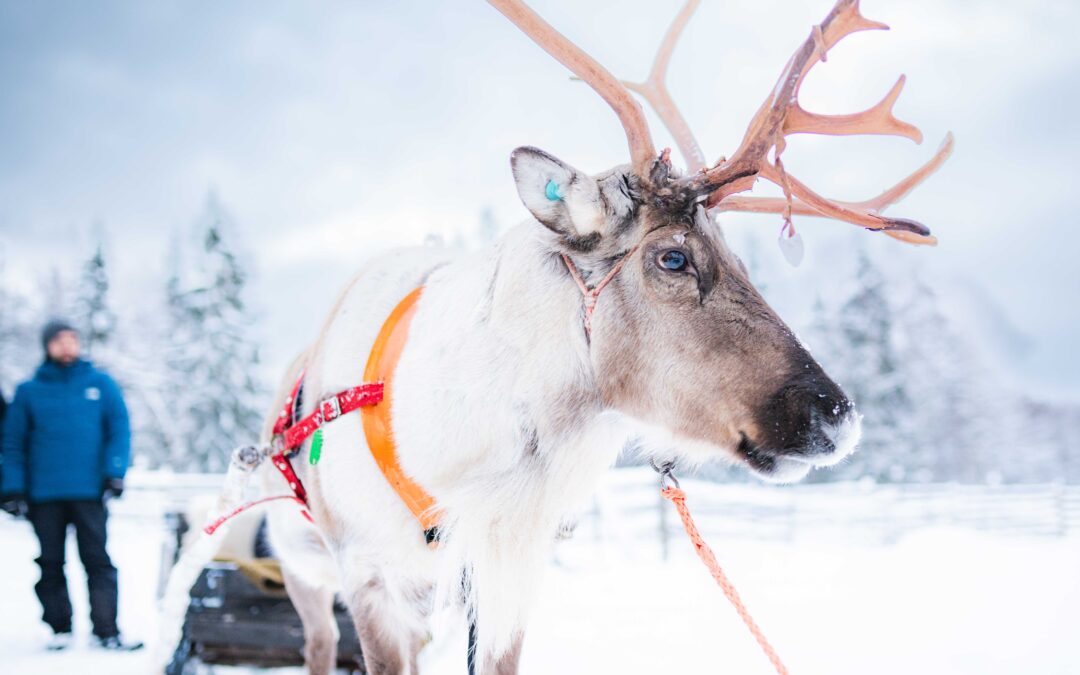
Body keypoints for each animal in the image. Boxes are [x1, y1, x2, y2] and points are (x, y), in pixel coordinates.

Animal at [249, 1, 953, 673]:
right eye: (673, 257)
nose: (838, 417)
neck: (455, 461)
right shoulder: (370, 580)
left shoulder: (505, 575)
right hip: (303, 572)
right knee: (317, 646)